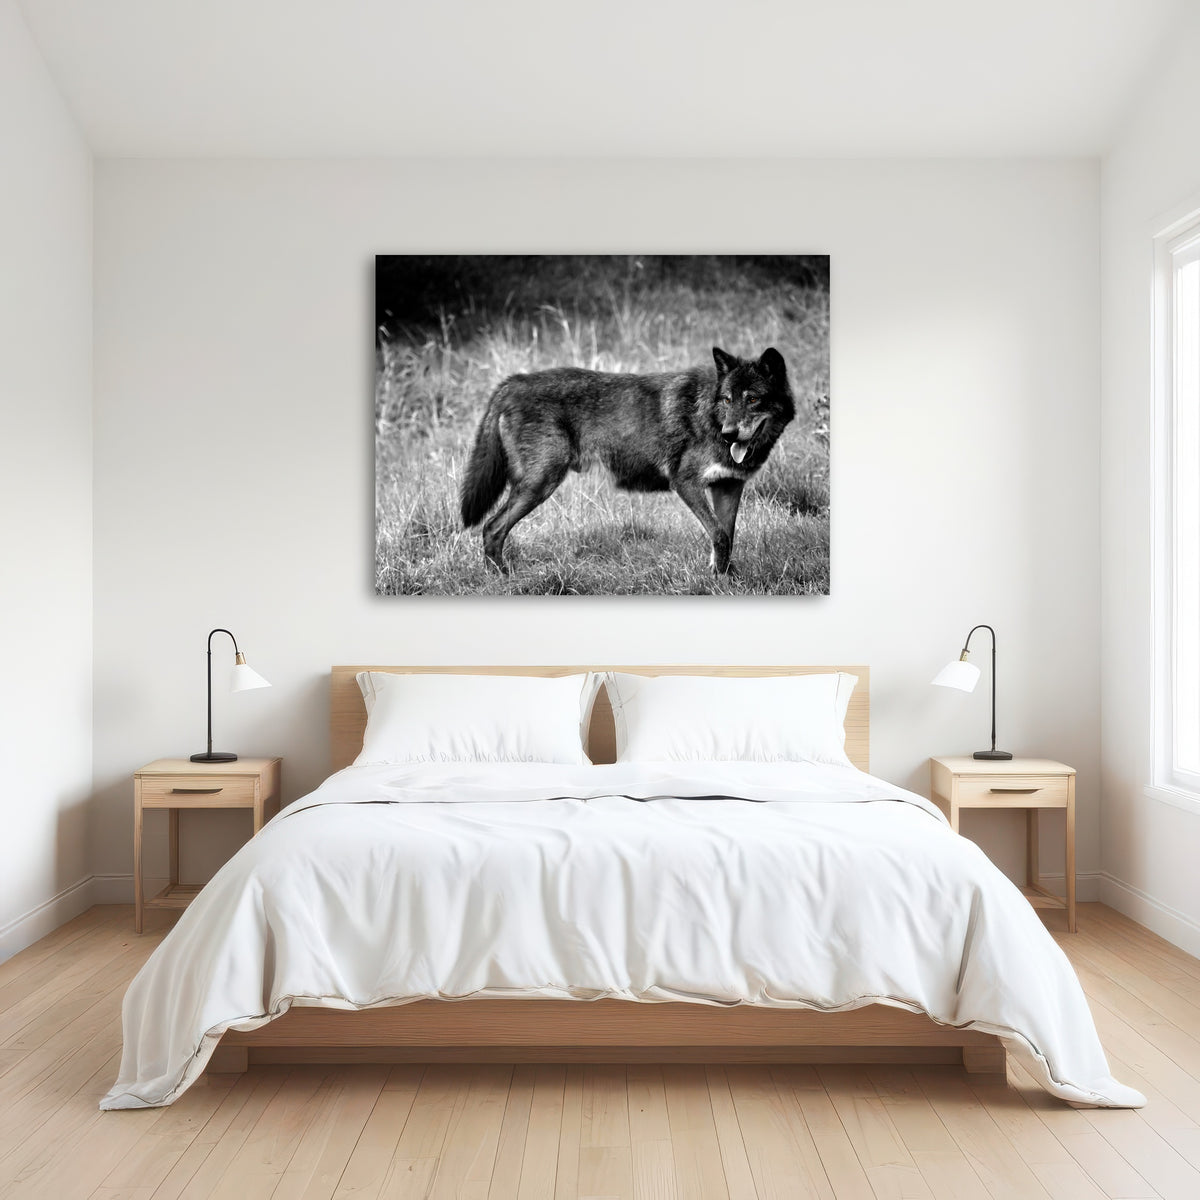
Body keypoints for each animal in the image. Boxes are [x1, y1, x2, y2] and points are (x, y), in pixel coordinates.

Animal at [459, 346, 795, 574]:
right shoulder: (685, 483)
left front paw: (724, 578)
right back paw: (502, 578)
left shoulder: (727, 486)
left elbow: (726, 536)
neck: (710, 417)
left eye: (752, 399)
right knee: (492, 527)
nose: (729, 434)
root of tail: (512, 382)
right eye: (727, 399)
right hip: (540, 484)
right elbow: (718, 535)